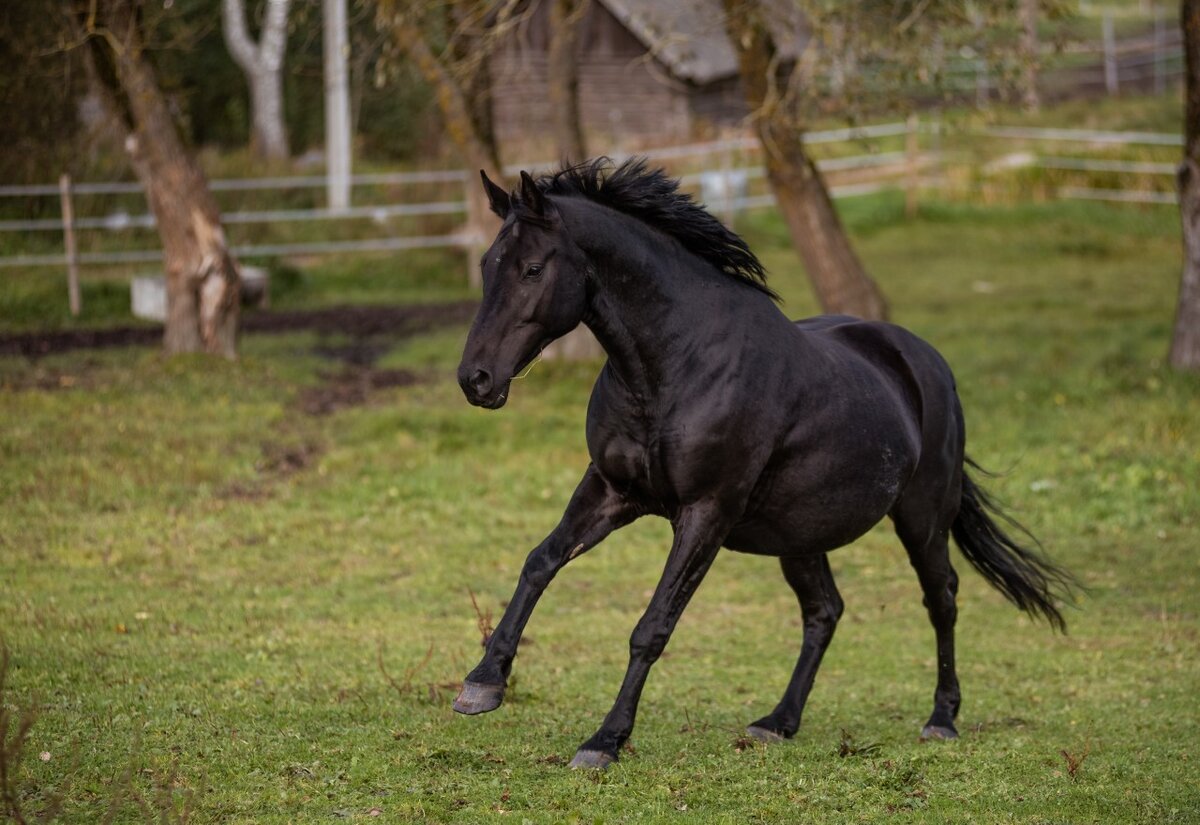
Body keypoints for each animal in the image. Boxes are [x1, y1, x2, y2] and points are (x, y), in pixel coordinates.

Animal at [453, 159, 1075, 767]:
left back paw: (941, 719)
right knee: (825, 610)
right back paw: (778, 722)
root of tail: (926, 362)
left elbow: (652, 627)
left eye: (532, 269)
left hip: (922, 516)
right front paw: (482, 685)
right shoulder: (610, 489)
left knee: (940, 598)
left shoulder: (706, 512)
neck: (677, 366)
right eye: (486, 265)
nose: (475, 379)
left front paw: (604, 741)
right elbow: (540, 562)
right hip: (799, 533)